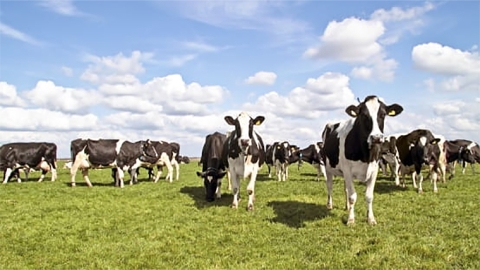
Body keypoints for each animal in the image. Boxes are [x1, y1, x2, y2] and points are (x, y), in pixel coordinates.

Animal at [320, 96, 404, 225]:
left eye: (383, 114)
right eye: (363, 115)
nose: (376, 137)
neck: (366, 156)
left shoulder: (374, 170)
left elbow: (369, 196)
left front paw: (371, 219)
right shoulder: (347, 170)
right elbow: (352, 196)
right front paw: (350, 220)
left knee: (345, 189)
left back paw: (347, 207)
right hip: (328, 167)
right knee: (329, 185)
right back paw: (329, 204)